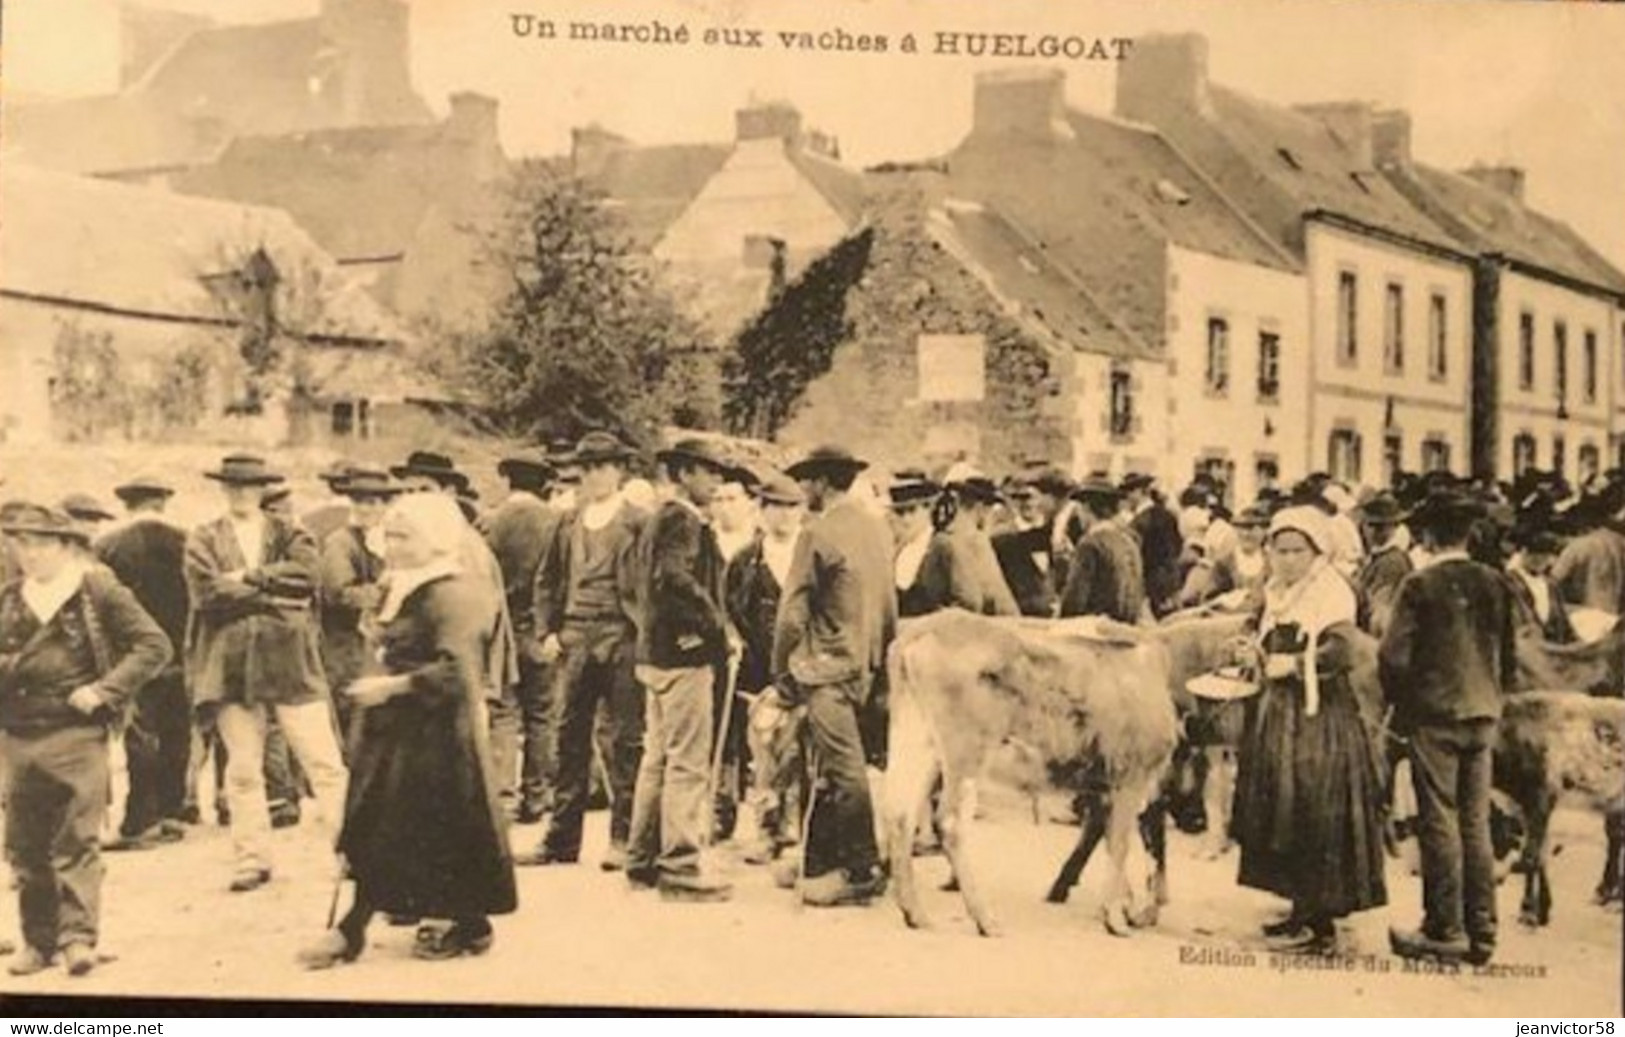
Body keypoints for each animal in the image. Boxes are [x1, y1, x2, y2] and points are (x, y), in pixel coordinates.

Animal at [884, 614, 1176, 936]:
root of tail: (928, 625)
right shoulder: (1133, 777)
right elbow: (1123, 844)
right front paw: (1116, 919)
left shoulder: (1106, 786)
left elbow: (1108, 838)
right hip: (966, 752)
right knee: (950, 822)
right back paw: (985, 919)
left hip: (918, 742)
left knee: (899, 814)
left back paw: (915, 913)